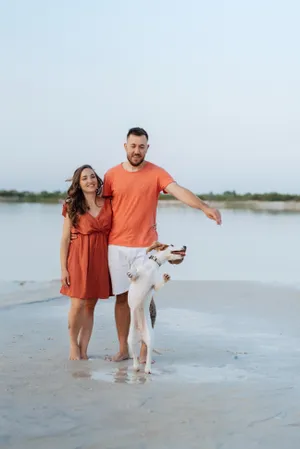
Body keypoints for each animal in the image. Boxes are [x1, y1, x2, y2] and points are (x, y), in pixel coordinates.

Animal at [126, 243, 186, 372]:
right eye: (172, 244)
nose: (185, 246)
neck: (152, 266)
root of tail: (141, 336)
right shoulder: (133, 279)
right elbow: (134, 274)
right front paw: (132, 272)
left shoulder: (154, 285)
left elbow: (158, 285)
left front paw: (166, 278)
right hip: (130, 339)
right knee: (134, 356)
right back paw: (136, 366)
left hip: (150, 339)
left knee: (148, 354)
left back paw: (147, 368)